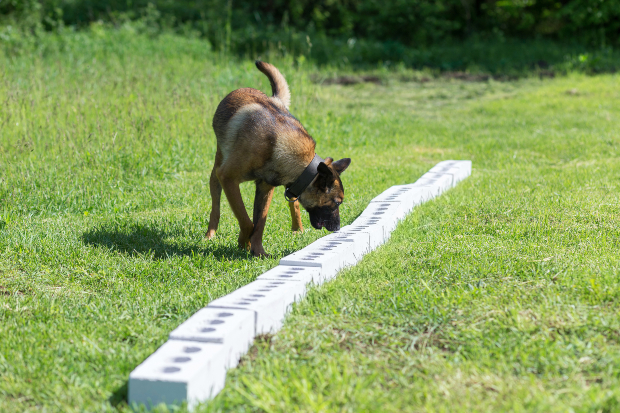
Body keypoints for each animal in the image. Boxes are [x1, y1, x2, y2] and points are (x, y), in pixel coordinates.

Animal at [206, 60, 352, 258]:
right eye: (336, 203)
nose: (337, 228)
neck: (275, 144)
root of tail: (274, 98)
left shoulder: (266, 188)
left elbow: (259, 223)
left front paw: (258, 251)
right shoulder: (229, 179)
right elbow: (247, 221)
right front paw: (244, 244)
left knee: (294, 204)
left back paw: (297, 229)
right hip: (217, 170)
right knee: (216, 205)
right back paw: (210, 233)